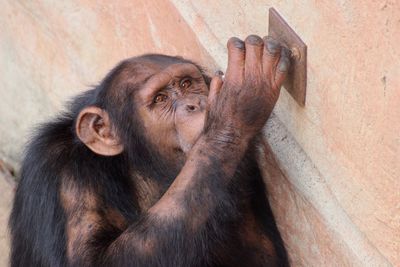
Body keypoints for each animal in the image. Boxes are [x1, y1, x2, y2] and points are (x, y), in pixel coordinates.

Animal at [8, 35, 290, 267]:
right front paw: (234, 109)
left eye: (187, 83)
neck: (140, 172)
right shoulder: (61, 177)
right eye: (160, 99)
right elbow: (91, 261)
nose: (195, 104)